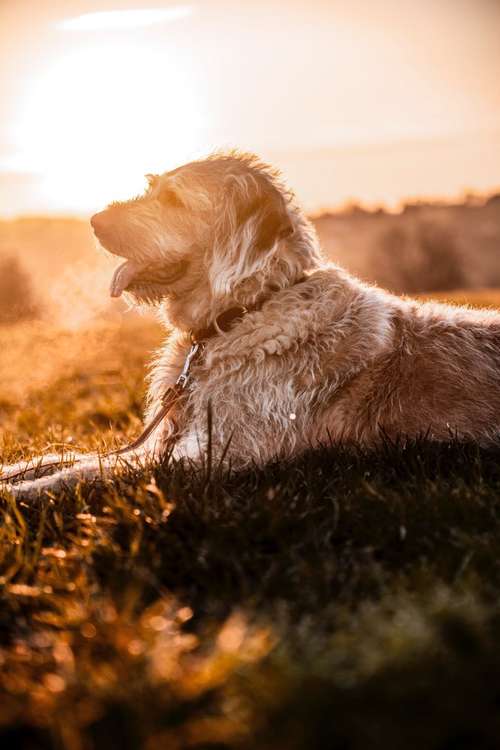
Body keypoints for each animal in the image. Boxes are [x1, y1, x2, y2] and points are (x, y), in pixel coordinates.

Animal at [2, 149, 500, 496]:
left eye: (174, 199)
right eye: (151, 186)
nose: (94, 220)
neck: (247, 311)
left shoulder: (213, 455)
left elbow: (87, 471)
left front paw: (16, 495)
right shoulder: (160, 442)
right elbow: (67, 455)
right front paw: (12, 472)